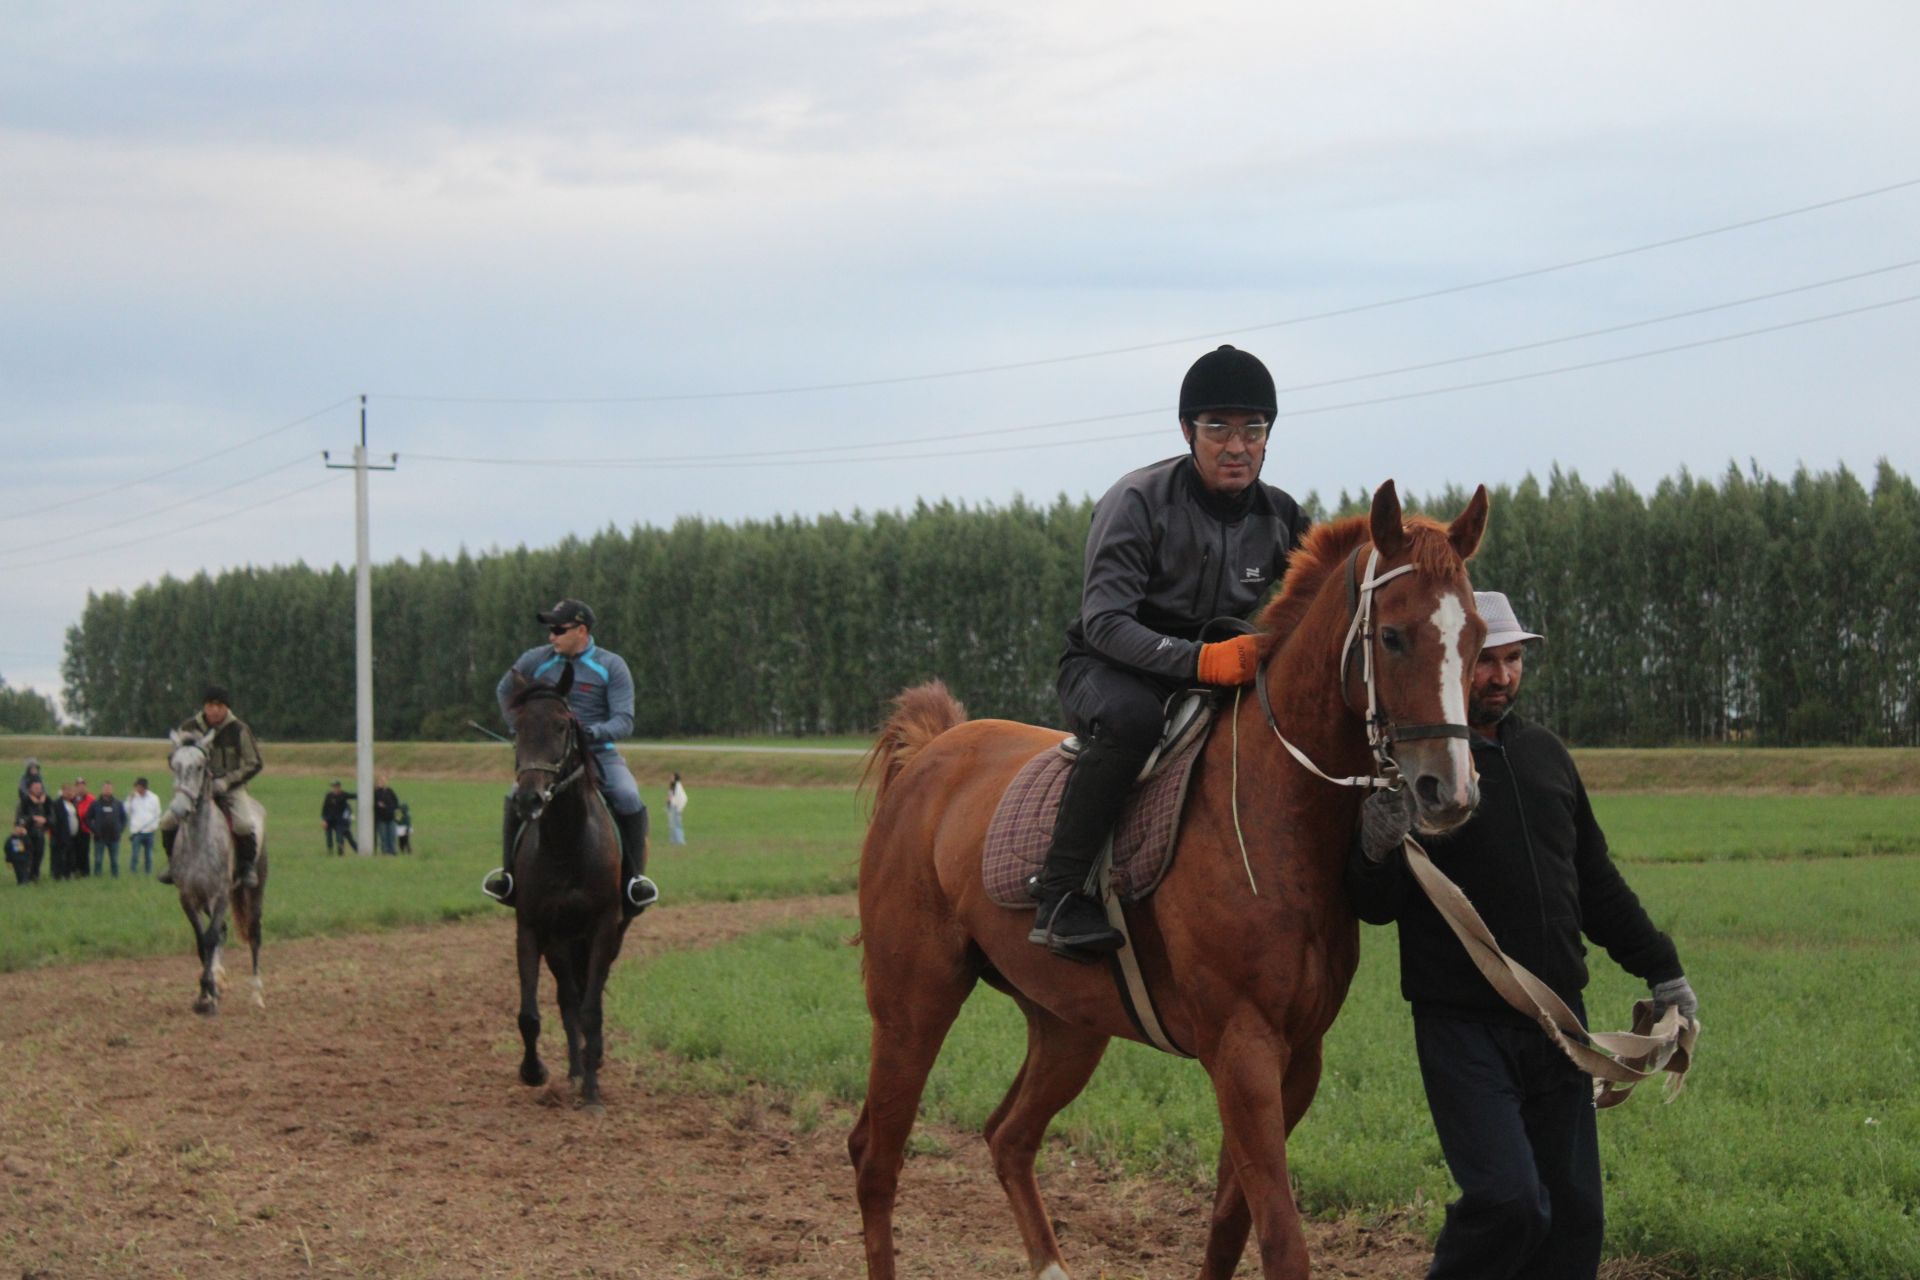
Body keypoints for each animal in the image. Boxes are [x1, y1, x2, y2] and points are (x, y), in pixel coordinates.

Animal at [166, 736, 266, 1013]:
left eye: (200, 766)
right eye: (174, 764)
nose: (179, 809)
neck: (199, 841)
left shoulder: (220, 896)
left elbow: (210, 939)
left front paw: (207, 995)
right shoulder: (188, 898)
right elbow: (203, 941)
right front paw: (207, 992)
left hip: (254, 892)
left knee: (254, 934)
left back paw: (257, 994)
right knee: (221, 930)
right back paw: (219, 980)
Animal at [503, 671, 629, 1113]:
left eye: (562, 725)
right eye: (518, 728)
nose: (529, 798)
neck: (566, 842)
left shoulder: (604, 927)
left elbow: (592, 1010)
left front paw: (592, 1094)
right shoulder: (531, 927)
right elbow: (531, 1013)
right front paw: (533, 1071)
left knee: (588, 997)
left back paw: (593, 1062)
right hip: (560, 943)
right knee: (567, 998)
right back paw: (575, 1069)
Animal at [848, 483, 1489, 1280]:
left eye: (1476, 638)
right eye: (1395, 637)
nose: (1449, 790)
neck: (1275, 812)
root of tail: (934, 750)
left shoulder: (1298, 1059)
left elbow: (1229, 1222)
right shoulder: (1242, 1051)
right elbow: (1280, 1239)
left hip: (1067, 1024)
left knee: (1007, 1136)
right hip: (914, 1002)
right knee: (877, 1158)